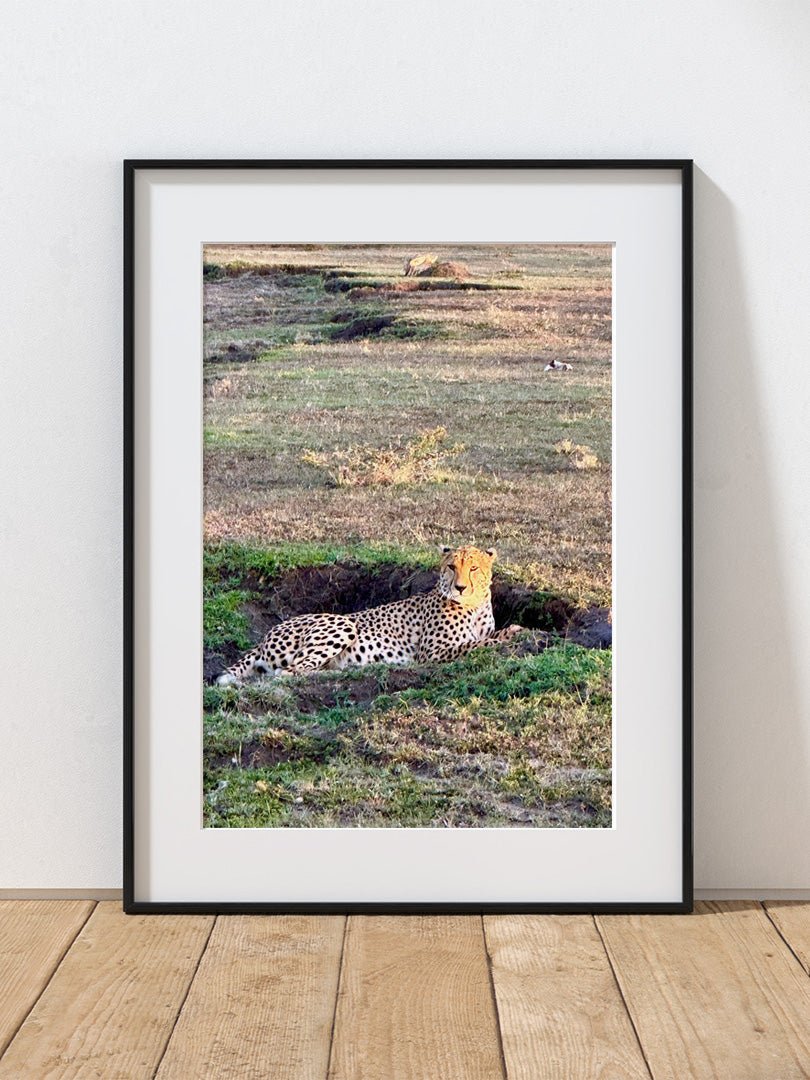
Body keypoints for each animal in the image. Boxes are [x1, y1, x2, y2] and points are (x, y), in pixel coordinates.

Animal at [215, 545, 523, 685]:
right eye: (451, 566)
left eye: (473, 568)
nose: (460, 587)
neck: (474, 606)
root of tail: (267, 634)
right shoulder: (432, 653)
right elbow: (477, 643)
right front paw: (514, 632)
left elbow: (482, 638)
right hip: (343, 623)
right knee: (287, 672)